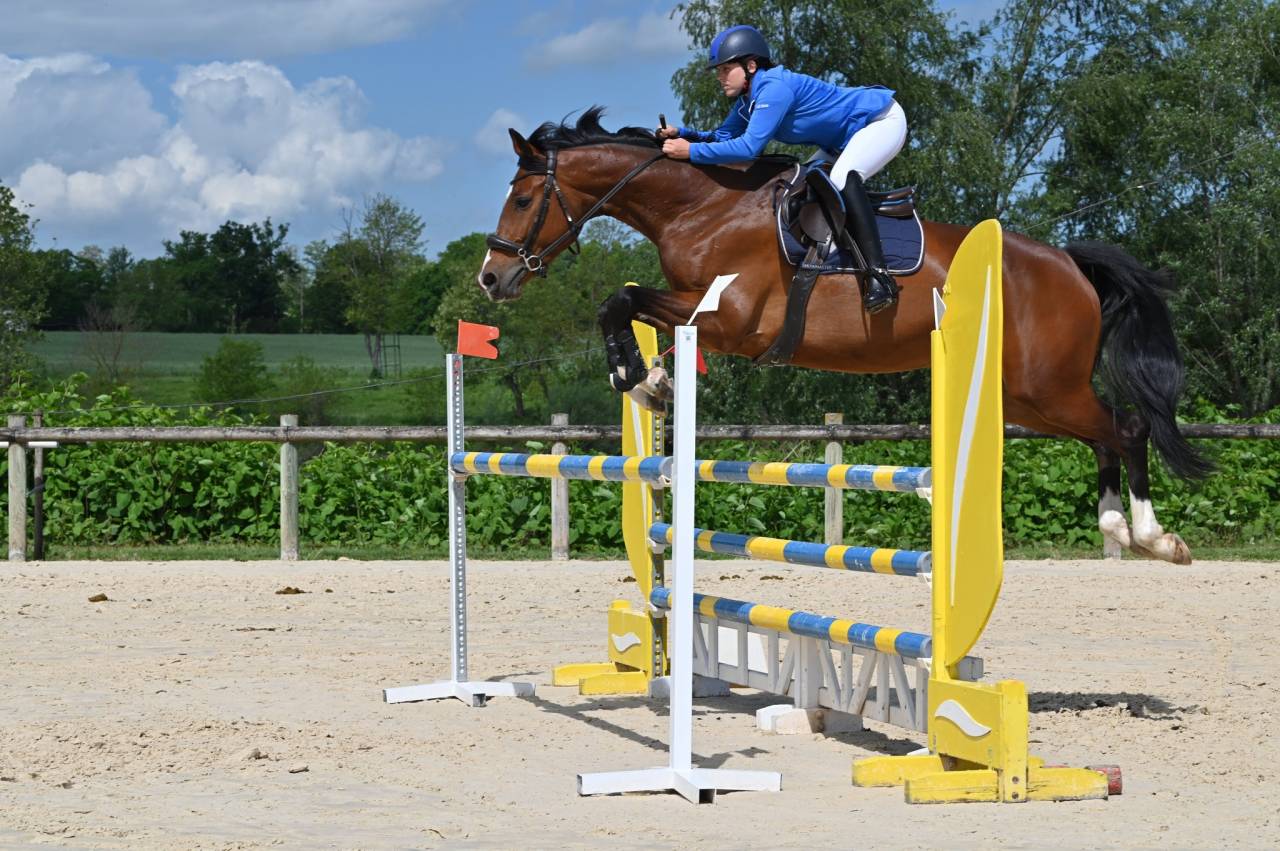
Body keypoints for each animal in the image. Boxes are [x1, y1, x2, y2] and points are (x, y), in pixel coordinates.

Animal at [476, 108, 1211, 565]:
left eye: (521, 199)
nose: (491, 277)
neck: (700, 206)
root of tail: (1068, 263)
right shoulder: (698, 311)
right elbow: (633, 307)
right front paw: (652, 381)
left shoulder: (735, 319)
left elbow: (620, 299)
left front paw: (636, 375)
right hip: (1032, 396)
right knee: (1106, 434)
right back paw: (1120, 527)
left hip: (1047, 386)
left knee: (1127, 427)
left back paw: (1154, 536)